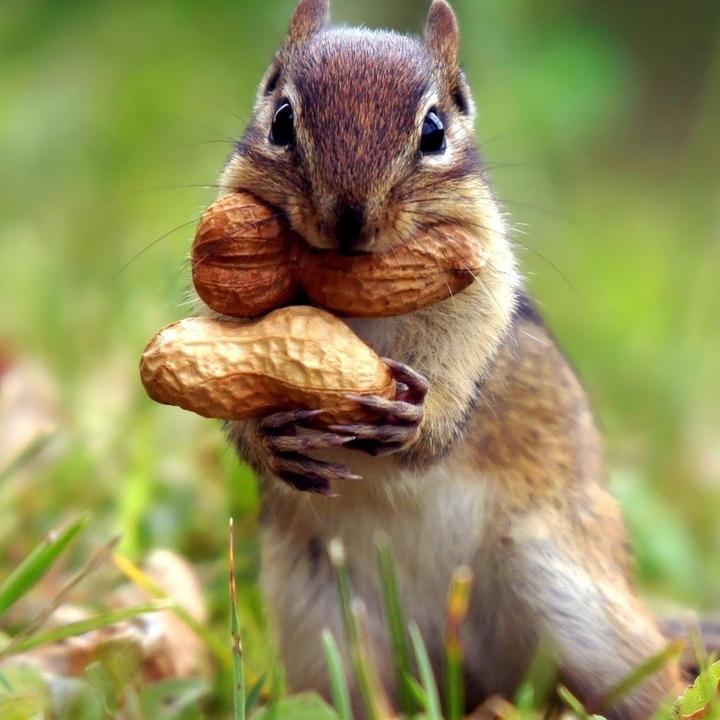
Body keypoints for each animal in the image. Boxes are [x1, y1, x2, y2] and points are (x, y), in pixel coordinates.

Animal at [209, 0, 689, 717]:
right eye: (282, 120)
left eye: (433, 131)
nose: (349, 221)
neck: (349, 295)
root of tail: (463, 669)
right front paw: (268, 439)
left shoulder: (483, 285)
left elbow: (462, 363)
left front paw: (420, 422)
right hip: (322, 622)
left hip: (583, 605)